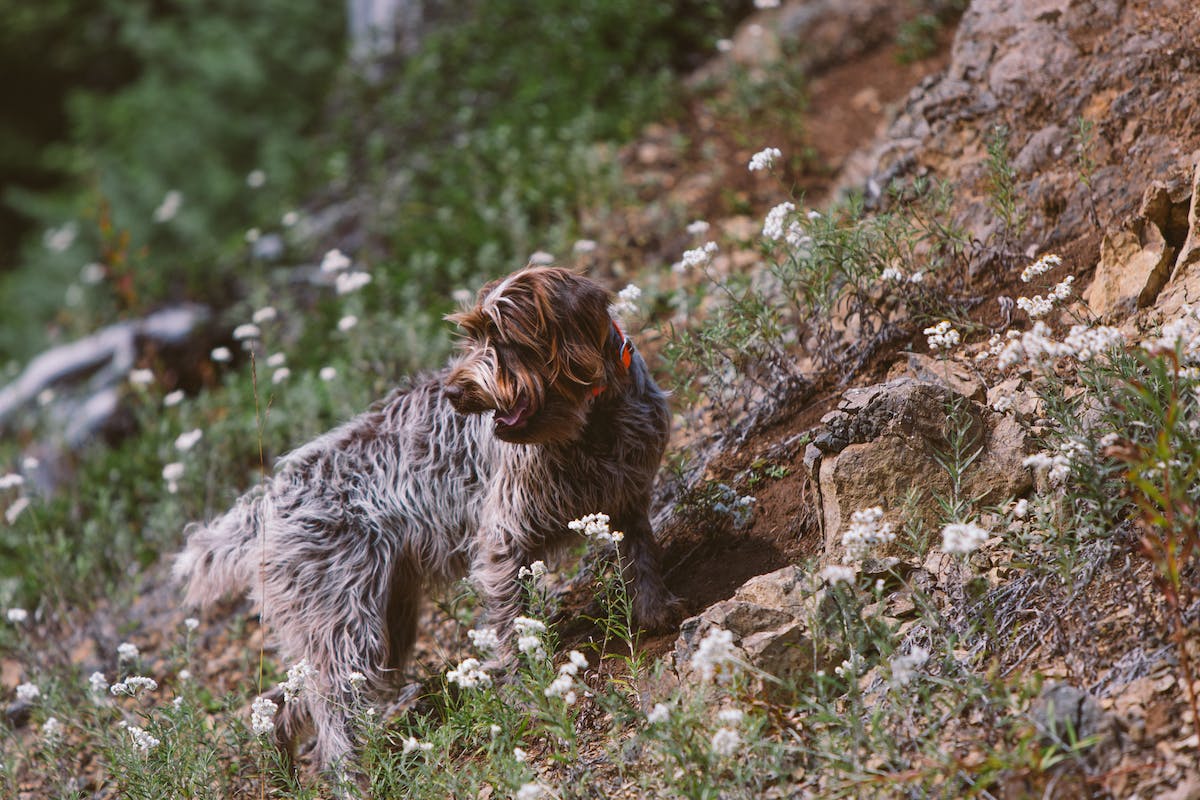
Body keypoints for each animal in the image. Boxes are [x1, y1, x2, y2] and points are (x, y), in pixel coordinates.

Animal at [172, 266, 681, 767]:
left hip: (380, 626)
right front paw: (528, 688)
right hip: (345, 625)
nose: (455, 392)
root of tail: (270, 498)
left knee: (287, 702)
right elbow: (513, 632)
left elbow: (641, 556)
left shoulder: (627, 501)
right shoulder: (503, 545)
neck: (589, 425)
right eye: (472, 335)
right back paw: (350, 773)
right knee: (331, 710)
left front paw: (653, 611)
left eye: (504, 336)